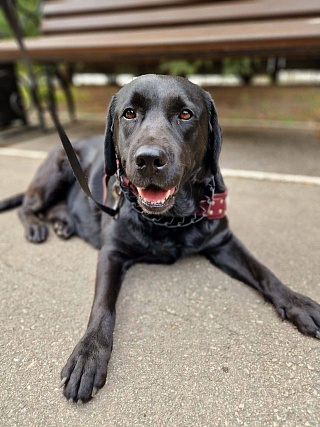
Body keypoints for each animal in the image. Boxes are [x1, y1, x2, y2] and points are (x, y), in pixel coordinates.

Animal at [0, 76, 318, 404]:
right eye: (129, 113)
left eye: (186, 114)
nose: (149, 159)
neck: (172, 220)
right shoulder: (112, 253)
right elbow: (103, 306)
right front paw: (88, 354)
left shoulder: (223, 241)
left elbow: (264, 271)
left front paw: (296, 302)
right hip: (57, 169)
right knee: (27, 207)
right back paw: (36, 227)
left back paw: (63, 224)